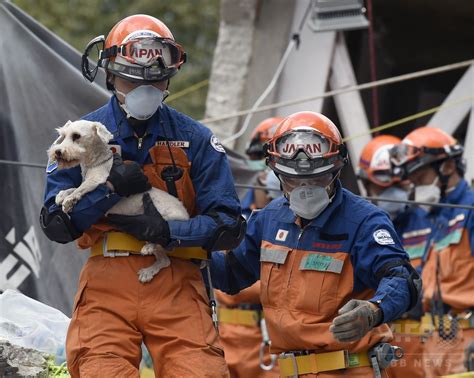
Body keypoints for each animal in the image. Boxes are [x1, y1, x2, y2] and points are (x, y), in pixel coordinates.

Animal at [47, 119, 190, 282]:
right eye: (63, 136)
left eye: (76, 136)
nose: (57, 152)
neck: (95, 163)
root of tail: (187, 215)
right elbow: (73, 188)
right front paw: (62, 194)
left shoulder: (97, 180)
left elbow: (80, 189)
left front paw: (69, 200)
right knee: (165, 261)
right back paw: (149, 271)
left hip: (165, 221)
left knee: (161, 234)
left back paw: (149, 247)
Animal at [209, 110, 420, 376]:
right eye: (292, 181)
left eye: (320, 178)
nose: (305, 193)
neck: (306, 224)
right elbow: (233, 269)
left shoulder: (374, 224)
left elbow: (397, 272)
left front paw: (361, 315)